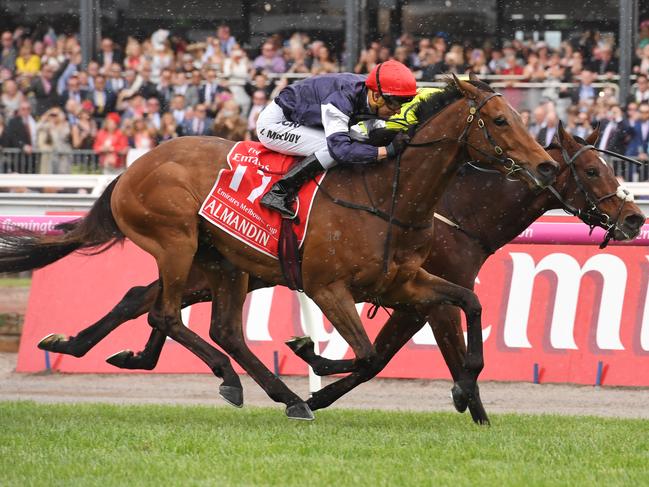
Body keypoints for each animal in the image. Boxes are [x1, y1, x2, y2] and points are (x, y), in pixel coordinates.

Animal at [0, 76, 556, 424]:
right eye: (500, 121)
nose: (546, 165)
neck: (389, 194)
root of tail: (134, 166)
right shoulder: (326, 286)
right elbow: (366, 353)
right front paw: (308, 350)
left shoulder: (402, 282)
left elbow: (468, 302)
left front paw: (468, 382)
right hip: (177, 242)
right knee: (167, 314)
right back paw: (241, 381)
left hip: (223, 261)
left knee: (214, 325)